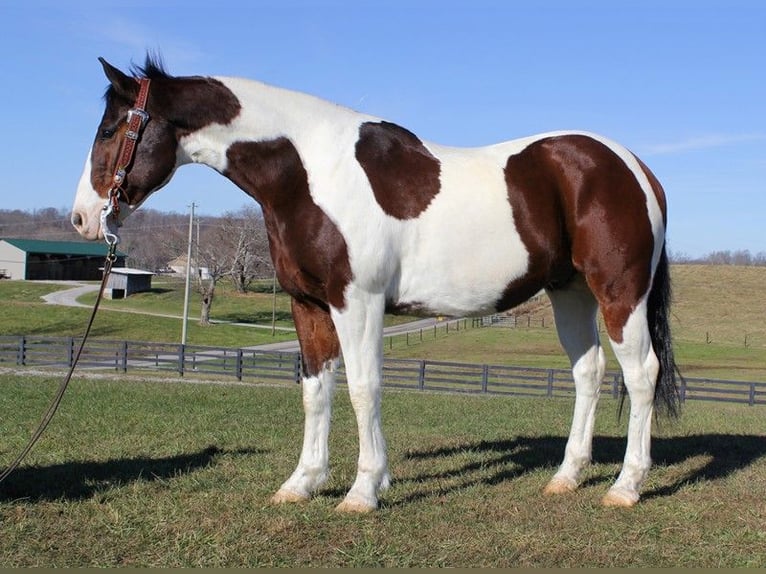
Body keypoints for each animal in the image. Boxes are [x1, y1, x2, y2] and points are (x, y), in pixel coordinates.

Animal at [71, 55, 680, 512]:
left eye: (110, 129)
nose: (82, 219)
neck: (310, 172)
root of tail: (633, 167)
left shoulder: (356, 302)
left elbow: (364, 388)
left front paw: (364, 490)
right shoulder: (308, 304)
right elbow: (315, 390)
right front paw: (303, 483)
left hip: (619, 292)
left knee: (641, 374)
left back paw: (626, 486)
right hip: (570, 292)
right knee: (589, 373)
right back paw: (566, 477)